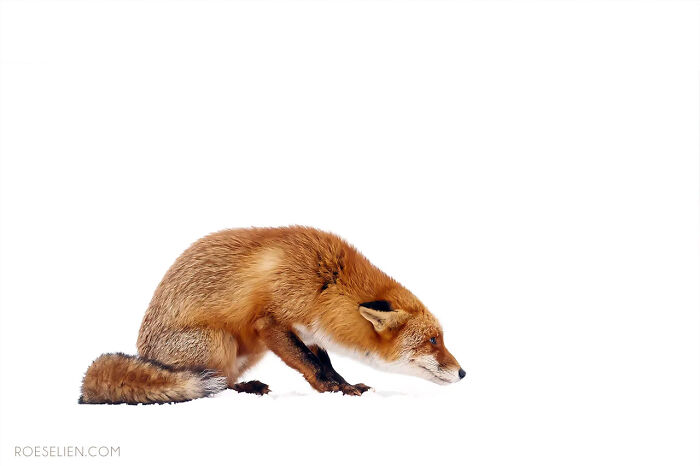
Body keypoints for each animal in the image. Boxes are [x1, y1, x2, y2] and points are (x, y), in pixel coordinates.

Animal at [79, 226, 465, 404]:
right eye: (433, 340)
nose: (463, 373)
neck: (327, 283)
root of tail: (143, 354)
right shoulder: (270, 325)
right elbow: (310, 366)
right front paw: (331, 390)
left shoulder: (310, 332)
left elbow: (324, 362)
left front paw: (343, 384)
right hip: (221, 342)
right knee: (209, 383)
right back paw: (237, 389)